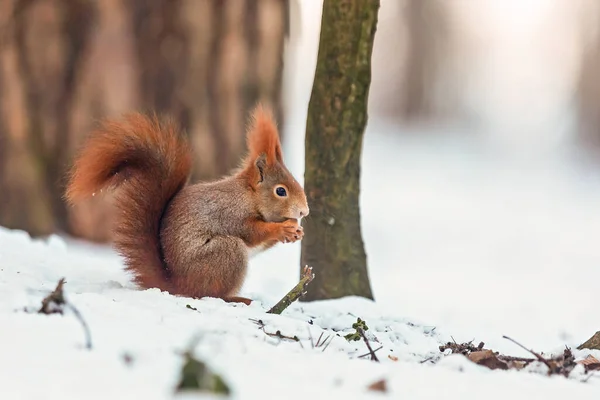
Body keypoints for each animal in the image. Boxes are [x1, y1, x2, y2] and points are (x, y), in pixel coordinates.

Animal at [65, 104, 310, 304]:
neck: (248, 195)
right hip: (226, 253)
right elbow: (252, 232)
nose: (304, 211)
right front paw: (282, 229)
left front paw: (296, 231)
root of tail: (176, 283)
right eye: (280, 191)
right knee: (208, 293)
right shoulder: (231, 213)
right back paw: (236, 298)